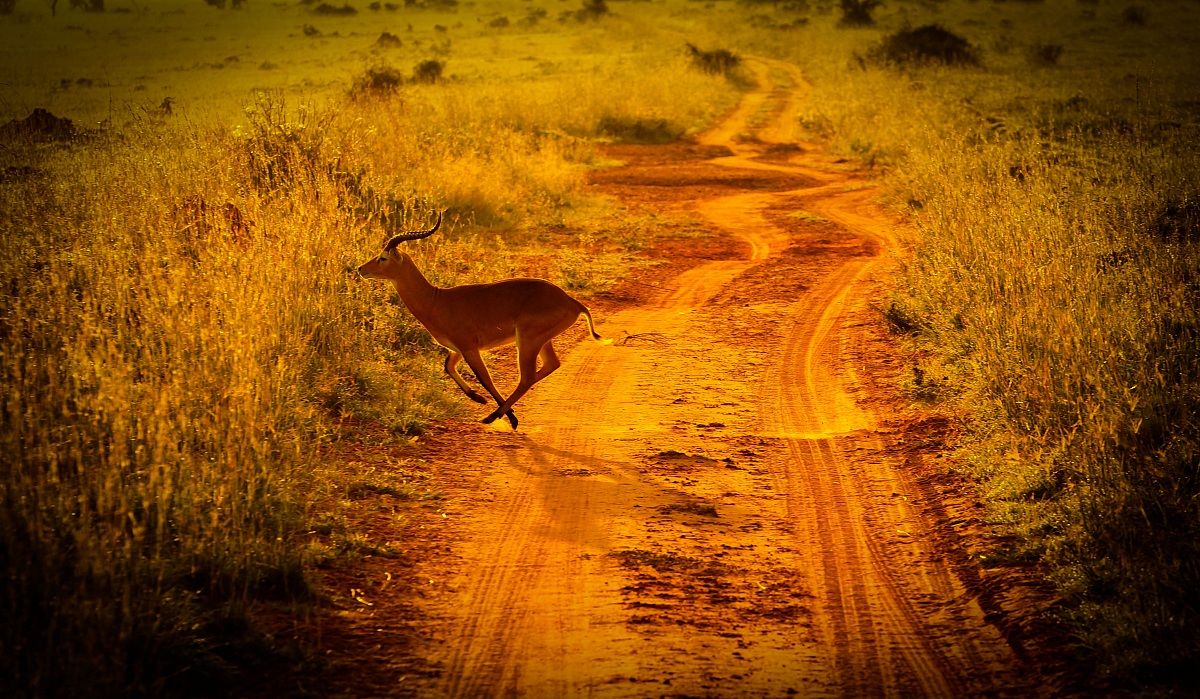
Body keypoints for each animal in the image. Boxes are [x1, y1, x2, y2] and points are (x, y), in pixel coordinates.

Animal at [357, 211, 605, 430]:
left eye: (383, 258)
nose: (360, 269)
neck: (436, 300)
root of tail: (572, 302)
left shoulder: (469, 348)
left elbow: (485, 378)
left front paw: (500, 412)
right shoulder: (456, 349)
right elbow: (448, 367)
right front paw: (478, 398)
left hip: (527, 340)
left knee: (526, 378)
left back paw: (495, 418)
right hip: (542, 341)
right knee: (550, 365)